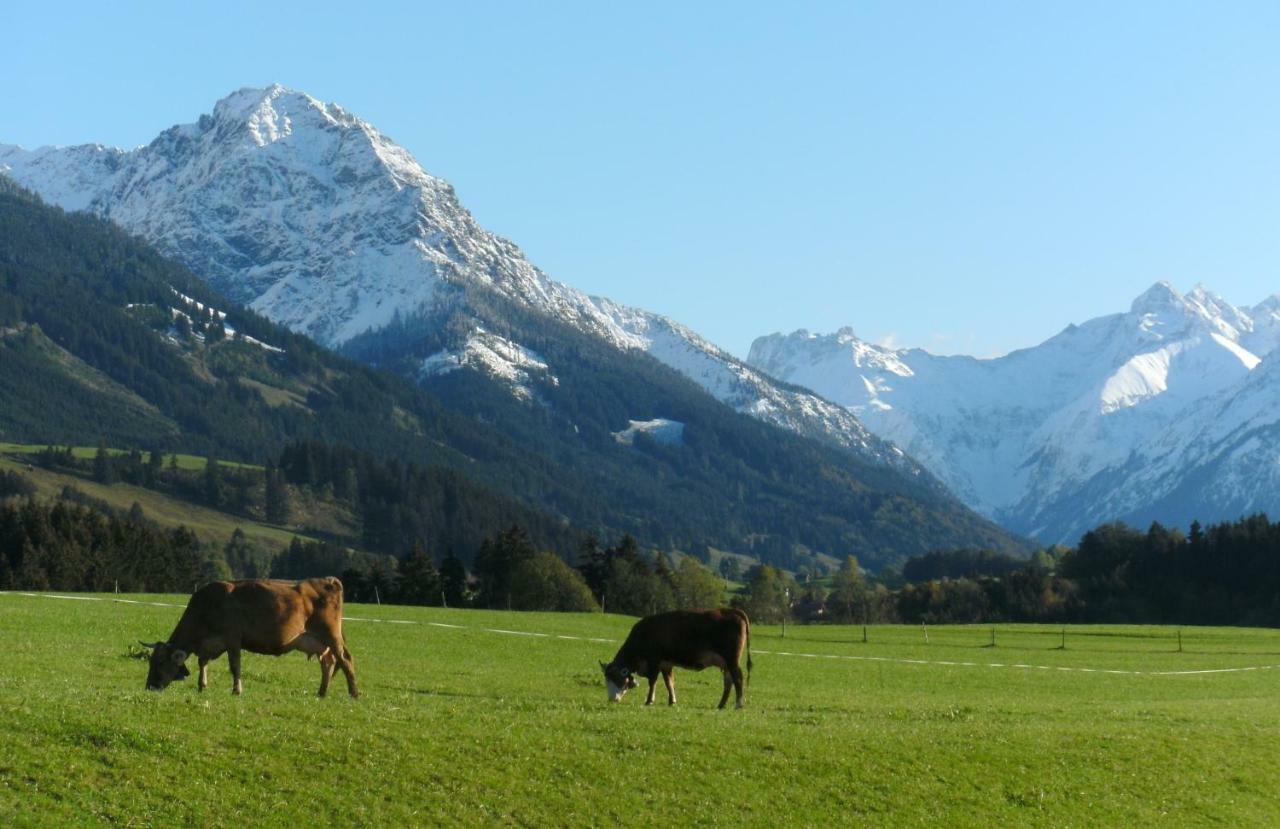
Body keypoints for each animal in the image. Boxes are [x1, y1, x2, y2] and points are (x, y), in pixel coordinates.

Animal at [142, 575, 358, 701]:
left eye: (160, 663)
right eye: (150, 662)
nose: (149, 687)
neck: (208, 607)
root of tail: (328, 580)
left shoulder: (233, 639)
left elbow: (235, 666)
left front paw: (236, 690)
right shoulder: (209, 644)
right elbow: (202, 662)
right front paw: (202, 686)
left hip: (331, 635)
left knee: (345, 660)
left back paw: (354, 693)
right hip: (318, 642)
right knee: (328, 663)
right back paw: (322, 692)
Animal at [599, 606, 747, 711]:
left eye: (614, 678)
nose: (611, 699)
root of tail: (731, 611)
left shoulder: (654, 661)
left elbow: (653, 682)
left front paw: (649, 701)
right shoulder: (666, 664)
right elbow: (669, 682)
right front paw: (672, 701)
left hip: (732, 660)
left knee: (738, 679)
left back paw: (738, 704)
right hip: (726, 664)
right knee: (728, 682)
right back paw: (721, 705)